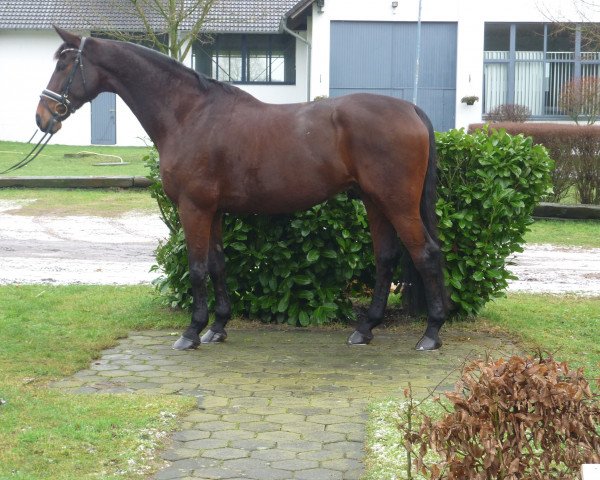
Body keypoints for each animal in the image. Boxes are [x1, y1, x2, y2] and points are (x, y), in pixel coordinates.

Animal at [36, 28, 450, 352]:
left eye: (63, 65)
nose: (42, 117)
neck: (190, 114)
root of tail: (411, 109)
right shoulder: (214, 210)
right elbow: (218, 264)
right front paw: (218, 327)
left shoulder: (193, 207)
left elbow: (197, 268)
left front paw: (191, 332)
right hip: (375, 201)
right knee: (386, 258)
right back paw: (365, 329)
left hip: (397, 203)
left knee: (426, 254)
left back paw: (431, 334)